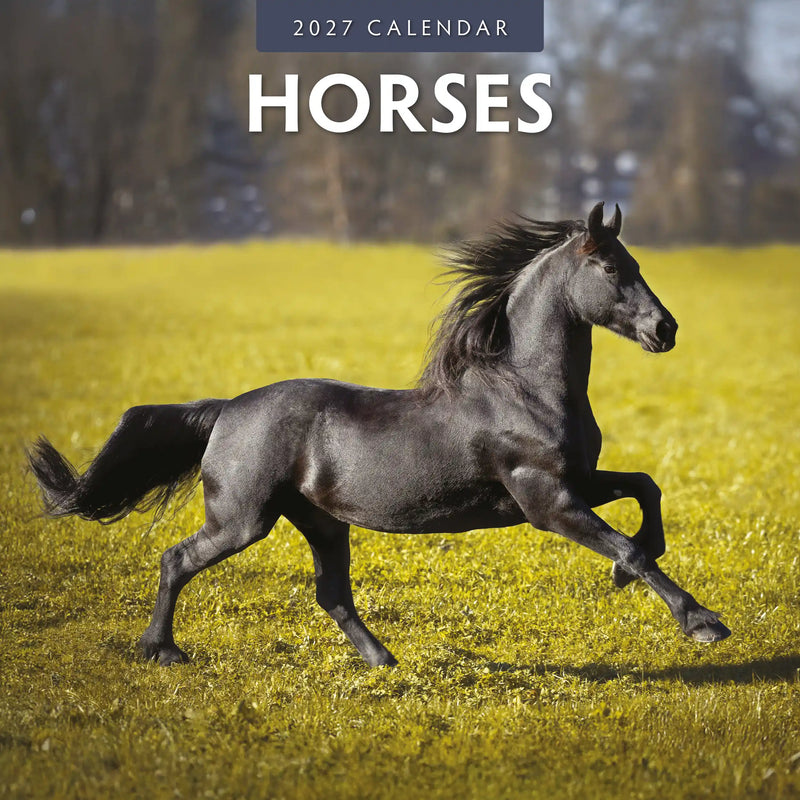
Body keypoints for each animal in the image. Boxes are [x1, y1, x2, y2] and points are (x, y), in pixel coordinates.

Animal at [27, 202, 731, 667]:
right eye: (611, 268)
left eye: (633, 261)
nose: (665, 329)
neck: (524, 389)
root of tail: (226, 409)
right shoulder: (545, 501)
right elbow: (631, 548)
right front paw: (702, 623)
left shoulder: (576, 483)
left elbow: (646, 488)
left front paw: (631, 576)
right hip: (243, 519)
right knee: (178, 559)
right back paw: (161, 651)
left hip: (319, 520)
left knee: (333, 593)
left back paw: (384, 662)